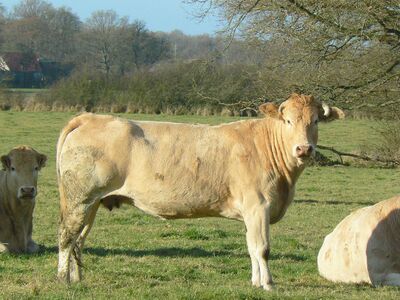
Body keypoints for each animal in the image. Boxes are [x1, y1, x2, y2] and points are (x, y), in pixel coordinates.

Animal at [55, 93, 344, 288]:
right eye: (287, 121)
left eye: (315, 121)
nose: (304, 149)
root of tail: (90, 117)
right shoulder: (258, 205)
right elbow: (262, 248)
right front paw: (268, 284)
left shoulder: (251, 212)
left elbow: (251, 247)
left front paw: (255, 282)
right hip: (79, 199)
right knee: (67, 237)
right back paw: (62, 279)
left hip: (91, 203)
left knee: (79, 240)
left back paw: (76, 278)